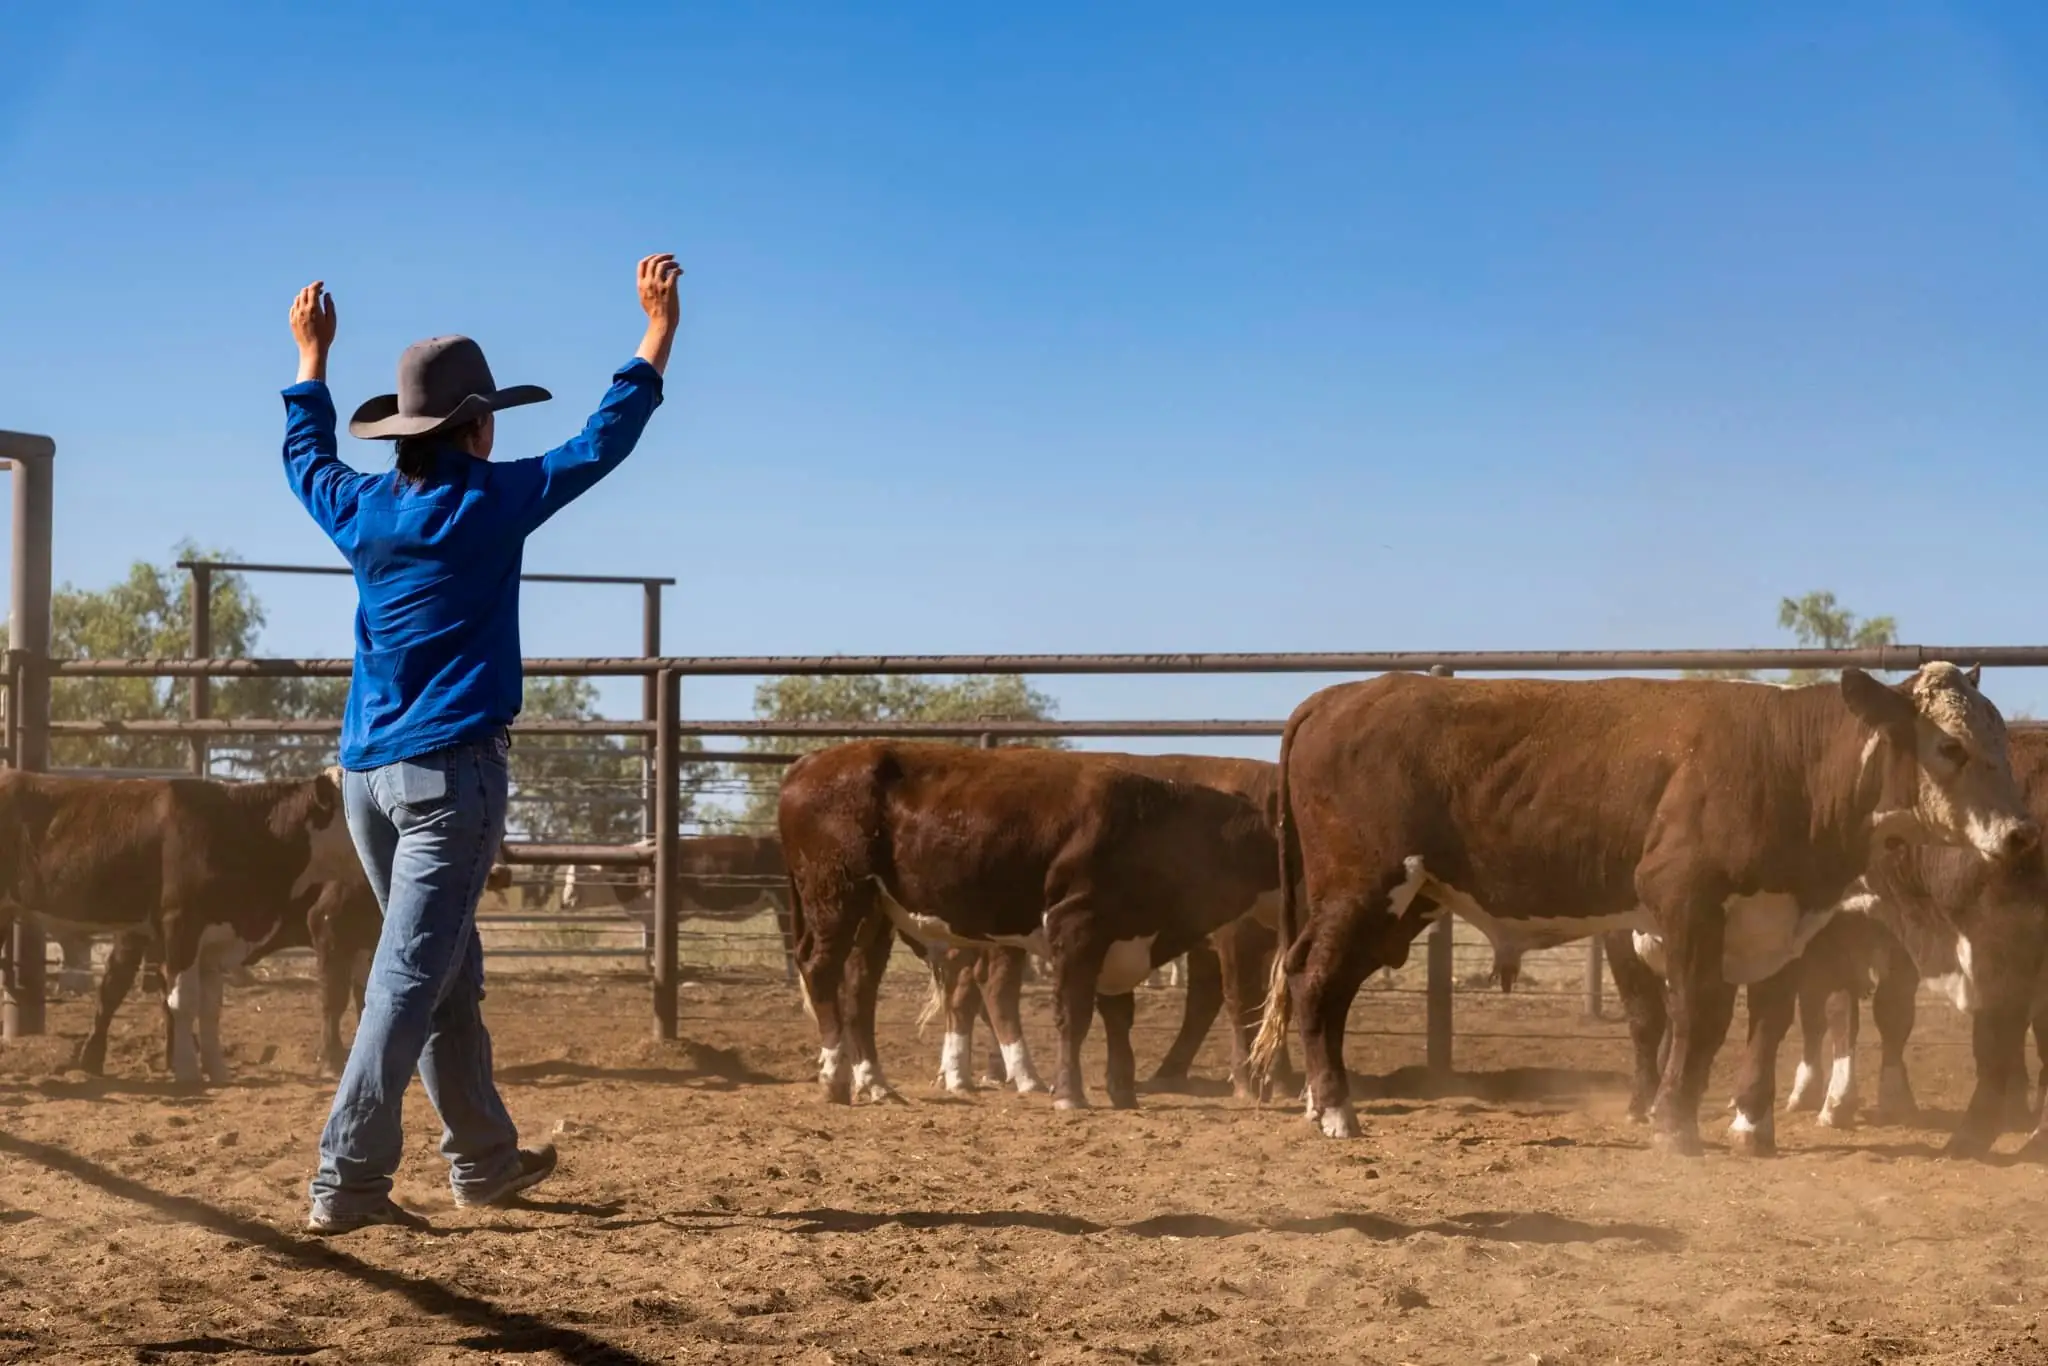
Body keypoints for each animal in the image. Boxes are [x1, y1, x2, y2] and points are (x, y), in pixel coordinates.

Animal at [0, 770, 359, 1084]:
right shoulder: (181, 926)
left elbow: (210, 1007)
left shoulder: (215, 941)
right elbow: (183, 1002)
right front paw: (187, 1070)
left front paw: (217, 1071)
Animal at [780, 741, 1278, 1110]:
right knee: (822, 970)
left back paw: (878, 1084)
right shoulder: (1077, 926)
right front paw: (1070, 1095)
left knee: (859, 992)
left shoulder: (1117, 941)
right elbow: (1074, 1014)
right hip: (837, 896)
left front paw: (1123, 1092)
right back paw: (835, 1077)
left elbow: (1118, 1016)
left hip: (876, 913)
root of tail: (810, 761)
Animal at [1250, 665, 2039, 1156]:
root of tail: (1335, 697)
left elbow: (1769, 1022)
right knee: (1316, 981)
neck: (1787, 762)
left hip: (1401, 902)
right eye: (1948, 745)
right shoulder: (1682, 901)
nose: (2020, 833)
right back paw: (1337, 1111)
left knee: (1324, 984)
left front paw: (1752, 1124)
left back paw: (1319, 1101)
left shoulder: (1777, 920)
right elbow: (1700, 1014)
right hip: (1365, 888)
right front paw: (1674, 1125)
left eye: (2000, 742)